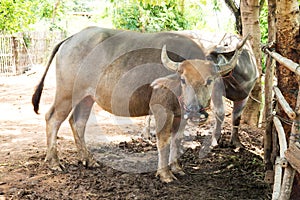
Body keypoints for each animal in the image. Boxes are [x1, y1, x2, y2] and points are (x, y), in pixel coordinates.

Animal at [32, 27, 247, 183]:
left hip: (86, 97)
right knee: (53, 118)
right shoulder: (162, 109)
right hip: (67, 93)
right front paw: (165, 174)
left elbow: (177, 139)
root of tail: (71, 38)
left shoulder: (180, 114)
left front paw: (177, 168)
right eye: (183, 80)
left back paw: (89, 160)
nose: (195, 111)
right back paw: (54, 162)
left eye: (209, 81)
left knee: (77, 122)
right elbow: (163, 140)